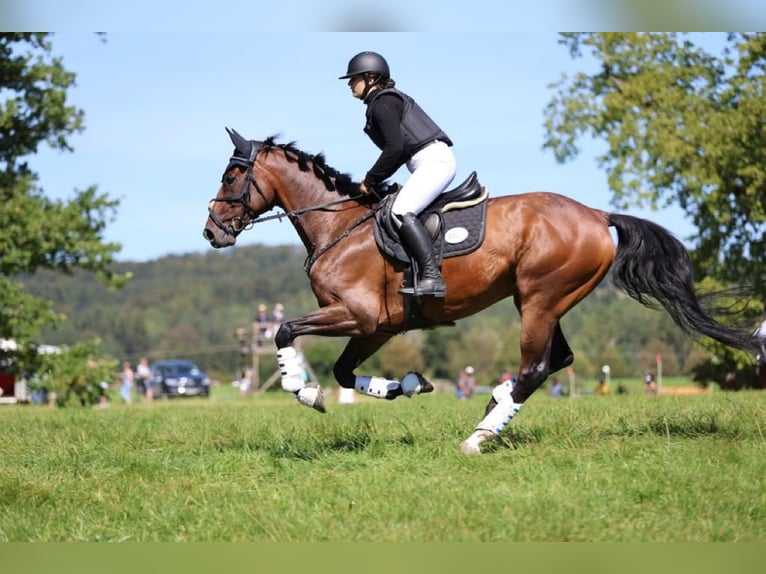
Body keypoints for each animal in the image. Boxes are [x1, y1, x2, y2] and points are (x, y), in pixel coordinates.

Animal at [203, 128, 756, 454]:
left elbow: (284, 331)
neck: (338, 226)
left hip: (539, 300)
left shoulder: (357, 315)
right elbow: (343, 371)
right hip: (542, 300)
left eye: (231, 175)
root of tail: (597, 215)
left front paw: (303, 390)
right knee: (557, 361)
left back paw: (480, 436)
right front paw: (406, 385)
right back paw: (493, 404)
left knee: (536, 368)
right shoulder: (377, 327)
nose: (211, 233)